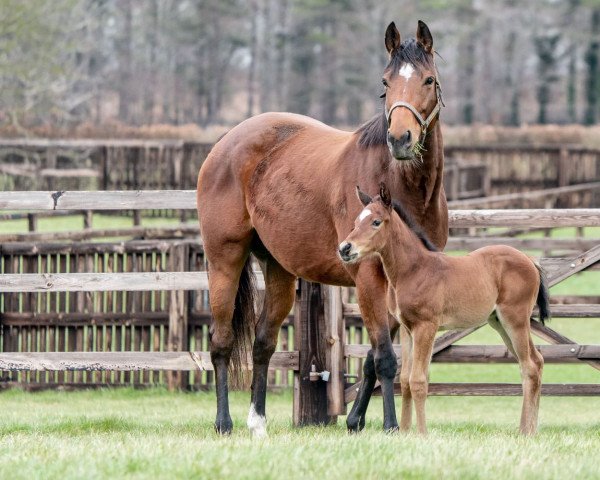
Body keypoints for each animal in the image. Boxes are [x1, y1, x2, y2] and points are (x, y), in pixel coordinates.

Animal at [338, 184, 548, 436]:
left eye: (376, 222)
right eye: (356, 222)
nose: (345, 248)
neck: (414, 270)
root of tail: (529, 260)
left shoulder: (426, 327)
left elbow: (419, 380)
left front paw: (422, 434)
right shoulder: (408, 330)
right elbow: (406, 379)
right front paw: (406, 432)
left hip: (515, 320)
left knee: (530, 366)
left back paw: (527, 432)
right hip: (498, 322)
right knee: (534, 362)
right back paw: (526, 430)